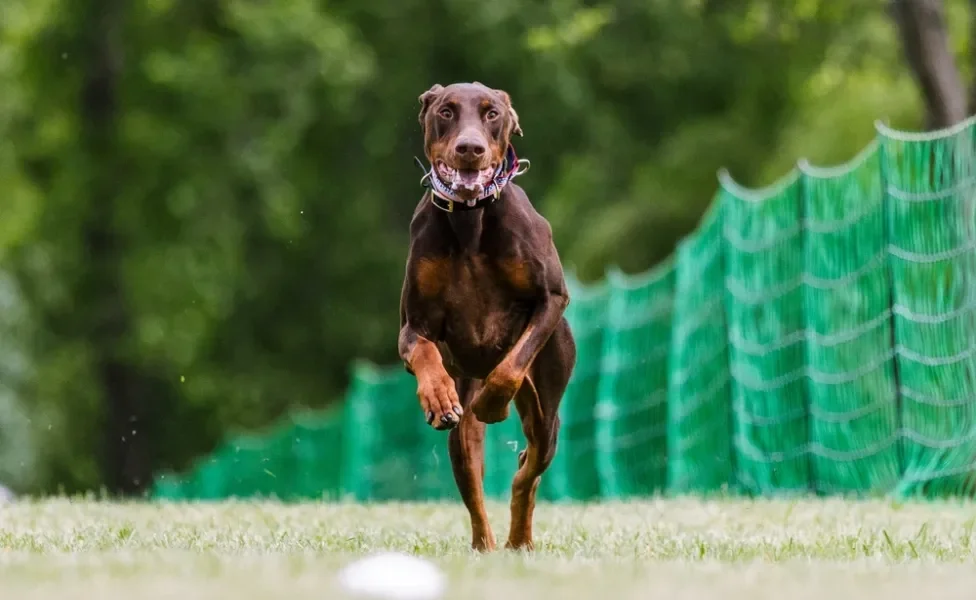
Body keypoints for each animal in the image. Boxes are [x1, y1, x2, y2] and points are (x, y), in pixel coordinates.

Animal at [400, 82, 576, 552]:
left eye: (492, 113)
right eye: (446, 111)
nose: (470, 149)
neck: (470, 218)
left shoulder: (551, 299)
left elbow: (511, 366)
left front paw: (493, 403)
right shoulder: (411, 324)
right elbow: (424, 352)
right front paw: (437, 396)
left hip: (548, 413)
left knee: (528, 470)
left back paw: (521, 539)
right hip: (462, 436)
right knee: (472, 479)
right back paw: (487, 544)